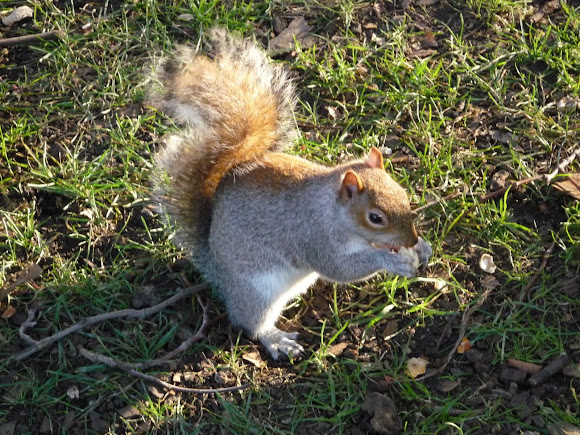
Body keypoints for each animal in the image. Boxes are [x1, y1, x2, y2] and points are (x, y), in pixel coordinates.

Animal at [150, 28, 430, 362]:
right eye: (375, 217)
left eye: (404, 194)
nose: (411, 239)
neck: (331, 209)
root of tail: (216, 267)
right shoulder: (314, 237)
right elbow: (341, 269)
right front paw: (391, 261)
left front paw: (422, 248)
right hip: (257, 291)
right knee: (250, 322)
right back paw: (276, 339)